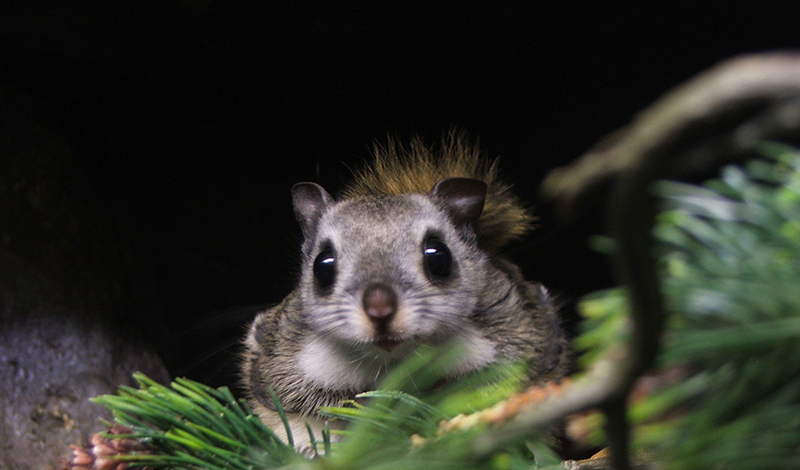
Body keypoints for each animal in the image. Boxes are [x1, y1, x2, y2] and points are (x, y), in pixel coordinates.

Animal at [241, 131, 572, 444]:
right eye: (322, 266)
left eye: (439, 257)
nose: (380, 309)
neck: (397, 361)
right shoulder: (278, 361)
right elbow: (313, 403)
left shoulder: (527, 334)